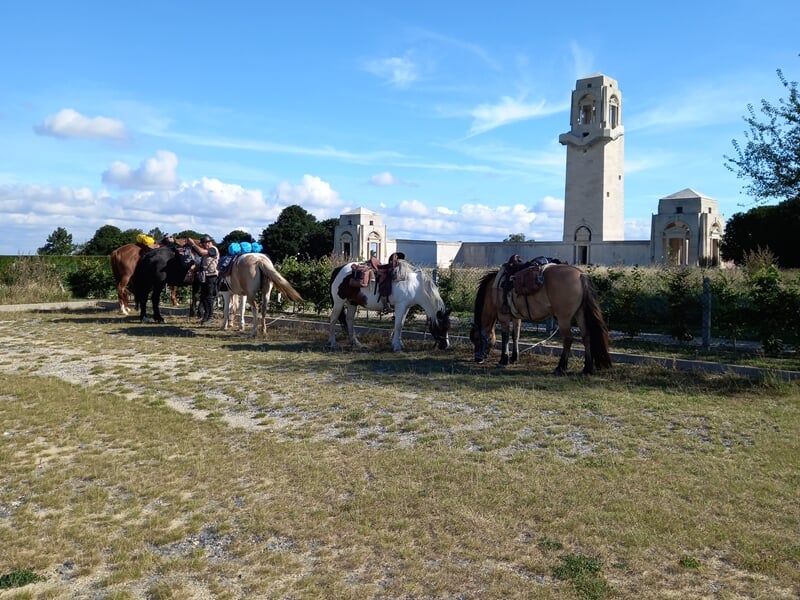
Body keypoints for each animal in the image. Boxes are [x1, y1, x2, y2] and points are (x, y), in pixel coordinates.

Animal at [469, 261, 612, 375]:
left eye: (476, 339)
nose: (477, 359)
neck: (494, 288)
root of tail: (580, 274)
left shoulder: (503, 316)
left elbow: (505, 337)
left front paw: (503, 359)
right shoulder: (516, 317)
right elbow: (515, 336)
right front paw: (514, 358)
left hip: (564, 317)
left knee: (568, 339)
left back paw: (560, 367)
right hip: (580, 313)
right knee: (586, 337)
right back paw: (587, 368)